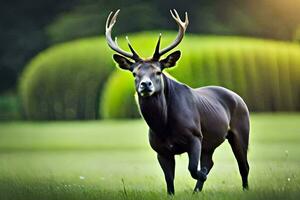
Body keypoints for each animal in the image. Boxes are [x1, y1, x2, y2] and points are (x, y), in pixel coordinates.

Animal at [104, 8, 250, 195]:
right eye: (134, 73)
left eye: (158, 71)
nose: (145, 84)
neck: (164, 126)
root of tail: (238, 97)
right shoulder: (160, 150)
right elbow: (169, 179)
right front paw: (176, 191)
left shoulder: (195, 136)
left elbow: (193, 169)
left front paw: (202, 175)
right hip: (210, 143)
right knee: (210, 162)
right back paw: (197, 191)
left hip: (241, 130)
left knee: (243, 165)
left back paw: (244, 189)